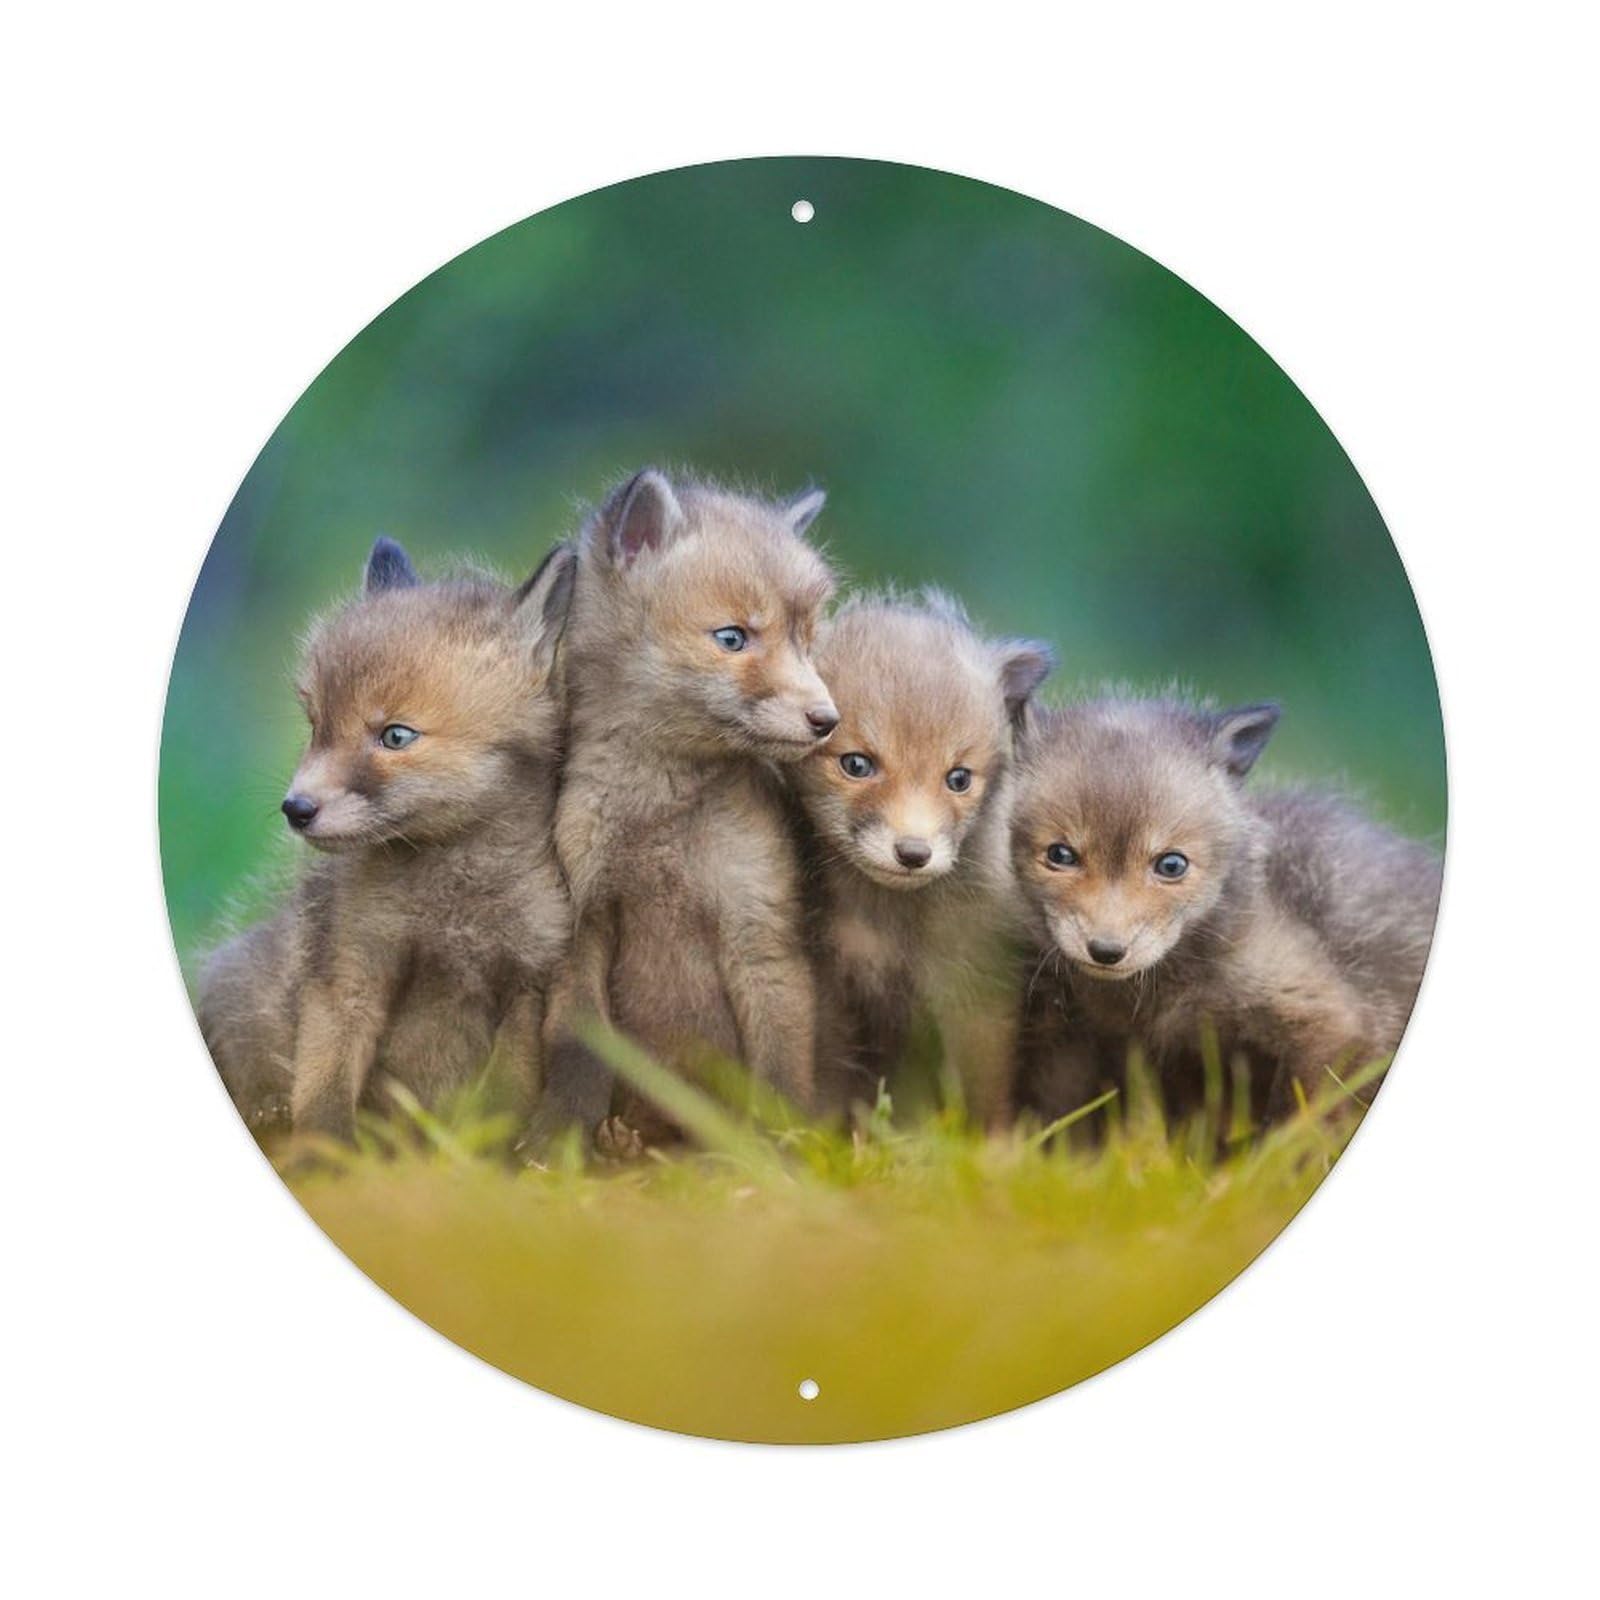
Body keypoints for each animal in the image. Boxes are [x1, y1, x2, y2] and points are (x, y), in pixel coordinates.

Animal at [197, 535, 576, 1143]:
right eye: (317, 725)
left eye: (395, 736)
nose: (296, 809)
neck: (450, 900)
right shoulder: (348, 974)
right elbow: (324, 1096)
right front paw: (325, 1157)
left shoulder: (528, 986)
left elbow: (501, 1104)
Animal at [522, 469, 839, 1155]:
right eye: (732, 638)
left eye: (807, 638)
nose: (828, 720)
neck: (658, 812)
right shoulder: (581, 922)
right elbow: (578, 1047)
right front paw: (559, 1137)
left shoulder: (759, 928)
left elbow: (779, 1066)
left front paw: (775, 1150)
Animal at [791, 594, 1053, 1124]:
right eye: (856, 764)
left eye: (959, 779)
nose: (913, 853)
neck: (892, 926)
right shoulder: (834, 987)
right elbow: (829, 1080)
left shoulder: (977, 986)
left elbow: (982, 1091)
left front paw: (987, 1141)